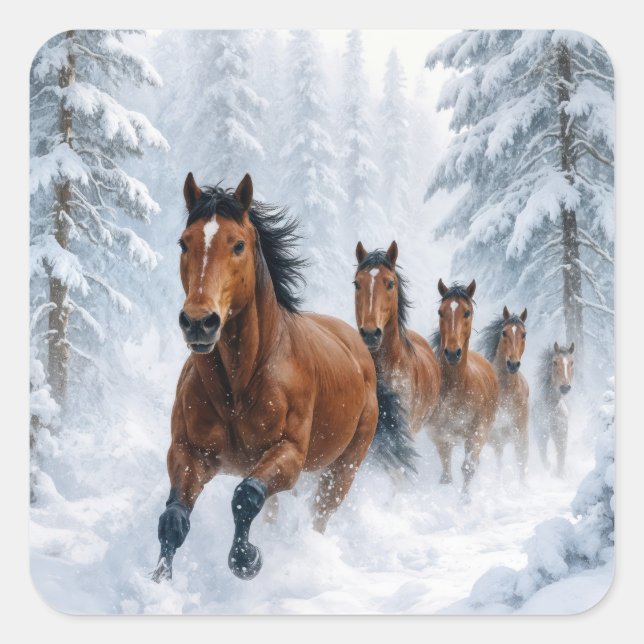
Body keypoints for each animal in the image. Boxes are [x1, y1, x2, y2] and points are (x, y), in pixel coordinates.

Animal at [152, 173, 399, 582]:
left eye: (237, 244)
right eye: (184, 243)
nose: (199, 322)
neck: (239, 384)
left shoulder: (289, 454)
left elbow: (245, 496)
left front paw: (246, 560)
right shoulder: (188, 452)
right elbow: (172, 520)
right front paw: (158, 581)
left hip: (344, 467)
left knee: (320, 513)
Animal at [429, 280, 499, 496]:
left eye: (467, 312)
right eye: (440, 312)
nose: (453, 353)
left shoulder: (477, 432)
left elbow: (468, 468)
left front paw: (464, 500)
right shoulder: (439, 434)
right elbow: (445, 472)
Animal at [533, 341, 575, 477]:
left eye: (572, 362)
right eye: (554, 362)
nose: (565, 387)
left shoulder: (561, 432)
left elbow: (561, 456)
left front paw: (560, 474)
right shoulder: (540, 432)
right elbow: (544, 457)